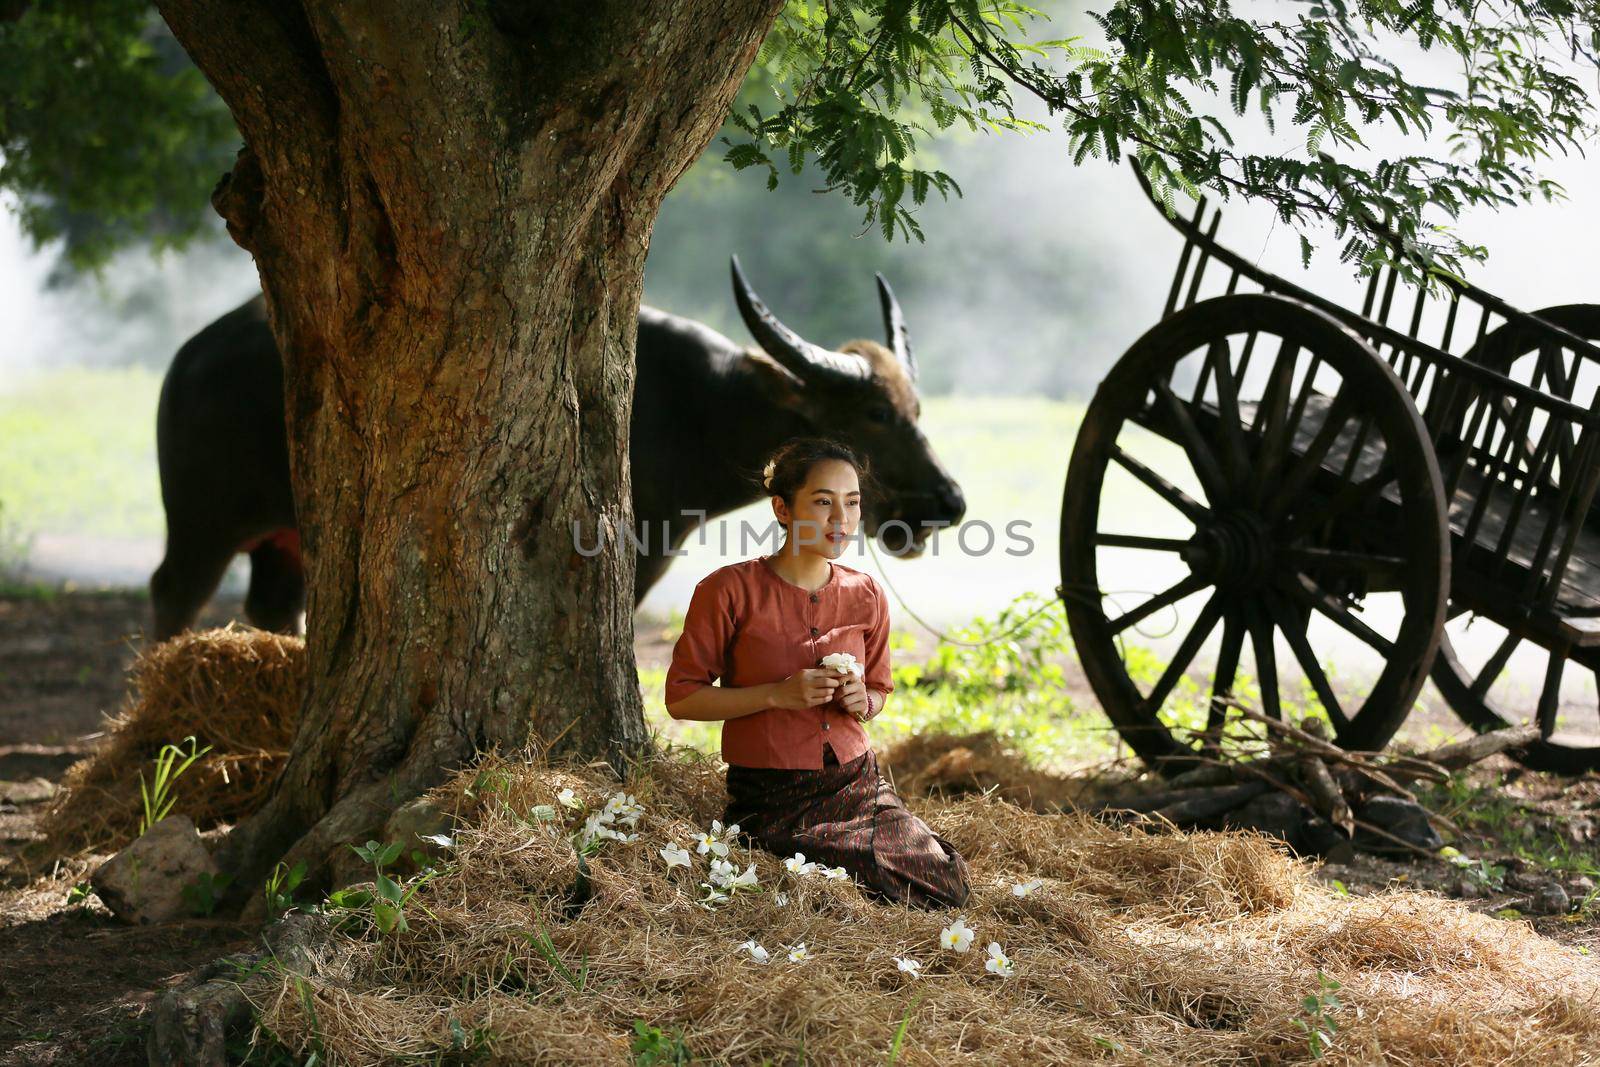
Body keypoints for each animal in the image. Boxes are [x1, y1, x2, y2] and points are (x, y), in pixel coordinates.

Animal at [152, 259, 960, 639]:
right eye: (874, 413)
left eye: (916, 409)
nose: (947, 503)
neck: (700, 410)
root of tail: (187, 358)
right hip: (201, 526)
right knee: (172, 592)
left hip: (285, 542)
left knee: (272, 608)